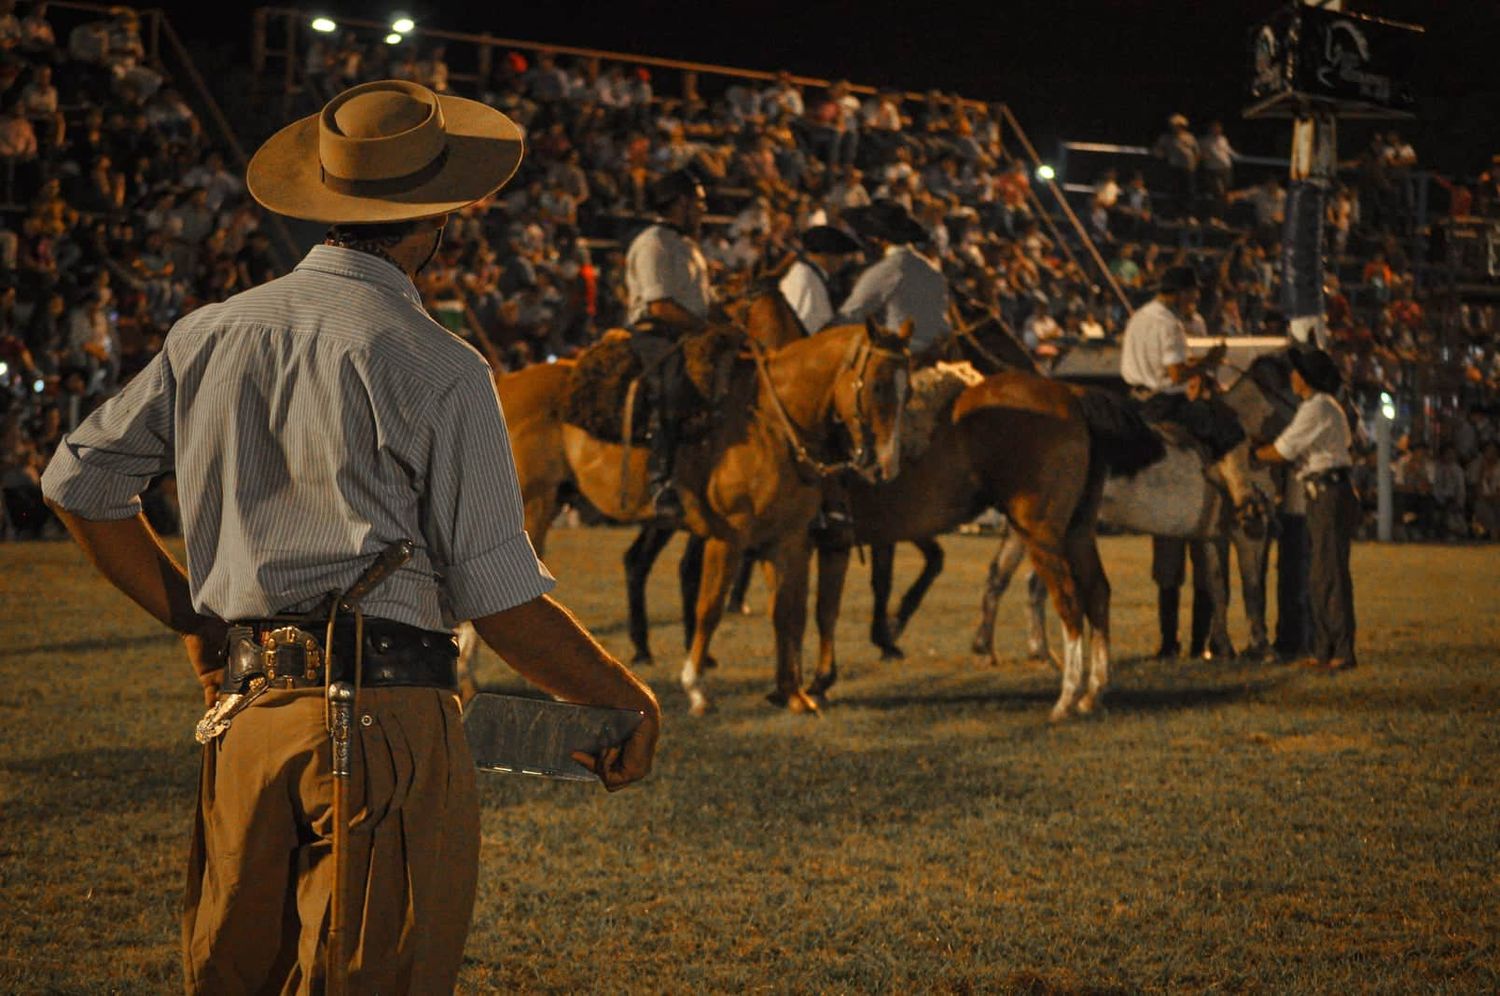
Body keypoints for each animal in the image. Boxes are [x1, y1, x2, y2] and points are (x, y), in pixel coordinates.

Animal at [972, 349, 1302, 669]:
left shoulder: (1211, 537)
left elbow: (1218, 588)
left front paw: (1223, 648)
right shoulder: (1248, 534)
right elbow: (1252, 589)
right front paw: (1262, 648)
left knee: (1006, 577)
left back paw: (1004, 650)